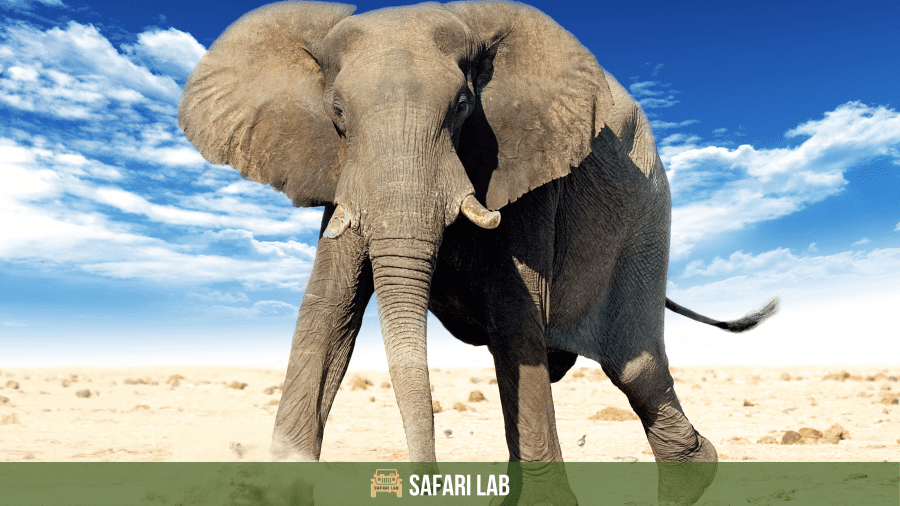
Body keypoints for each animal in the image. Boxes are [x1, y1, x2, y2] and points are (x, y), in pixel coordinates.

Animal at [178, 1, 779, 504]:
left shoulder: (528, 167)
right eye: (338, 113)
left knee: (636, 367)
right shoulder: (342, 180)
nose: (427, 484)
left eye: (464, 106)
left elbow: (516, 322)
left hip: (649, 216)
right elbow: (326, 317)